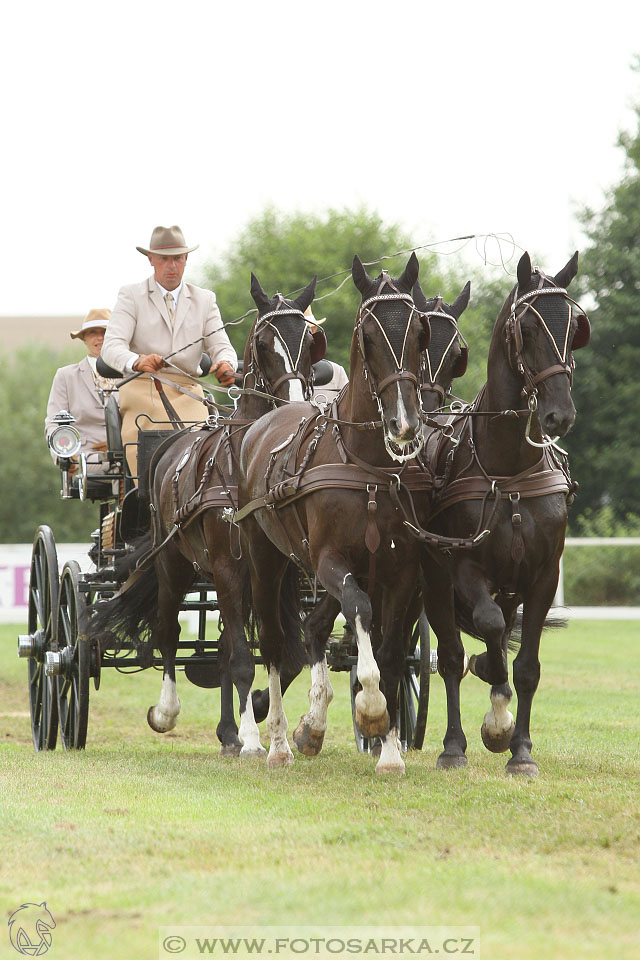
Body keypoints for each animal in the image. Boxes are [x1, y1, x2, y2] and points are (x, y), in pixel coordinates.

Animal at [89, 274, 320, 752]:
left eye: (310, 341)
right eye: (264, 342)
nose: (293, 404)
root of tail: (173, 438)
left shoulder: (281, 571)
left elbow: (283, 653)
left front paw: (262, 715)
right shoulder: (230, 566)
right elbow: (242, 657)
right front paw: (253, 738)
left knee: (221, 647)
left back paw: (228, 730)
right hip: (173, 563)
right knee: (169, 633)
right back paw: (167, 713)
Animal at [235, 253, 430, 772]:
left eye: (419, 333)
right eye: (369, 336)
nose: (404, 424)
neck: (368, 466)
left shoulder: (401, 568)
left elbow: (391, 647)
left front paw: (389, 750)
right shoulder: (330, 561)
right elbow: (360, 614)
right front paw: (371, 708)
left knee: (313, 627)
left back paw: (312, 727)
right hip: (265, 560)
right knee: (274, 642)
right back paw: (277, 743)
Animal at [420, 251, 592, 776]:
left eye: (575, 326)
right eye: (528, 329)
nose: (560, 415)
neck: (510, 467)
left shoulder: (543, 576)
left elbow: (527, 666)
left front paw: (520, 750)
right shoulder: (464, 568)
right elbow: (489, 631)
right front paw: (492, 717)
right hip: (433, 583)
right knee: (451, 654)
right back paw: (453, 743)